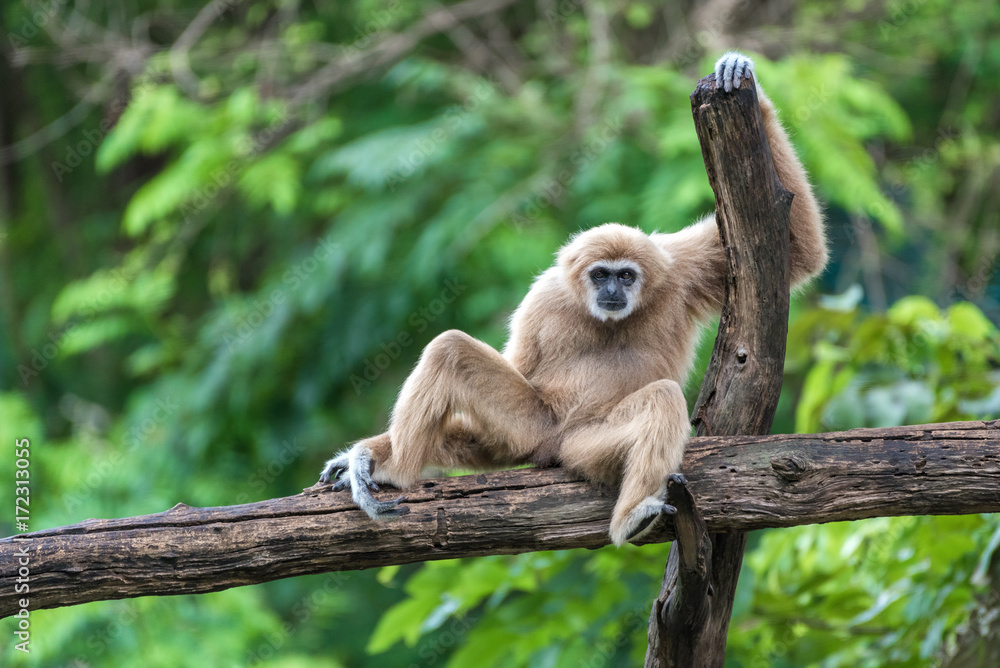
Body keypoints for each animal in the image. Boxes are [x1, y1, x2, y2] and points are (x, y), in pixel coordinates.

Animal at [318, 53, 827, 546]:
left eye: (626, 275)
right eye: (600, 275)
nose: (611, 291)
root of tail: (555, 446)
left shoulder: (677, 269)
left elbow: (798, 251)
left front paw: (742, 75)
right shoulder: (542, 298)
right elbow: (517, 366)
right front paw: (365, 455)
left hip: (584, 444)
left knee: (658, 400)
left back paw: (630, 517)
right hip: (533, 425)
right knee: (452, 351)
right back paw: (398, 469)